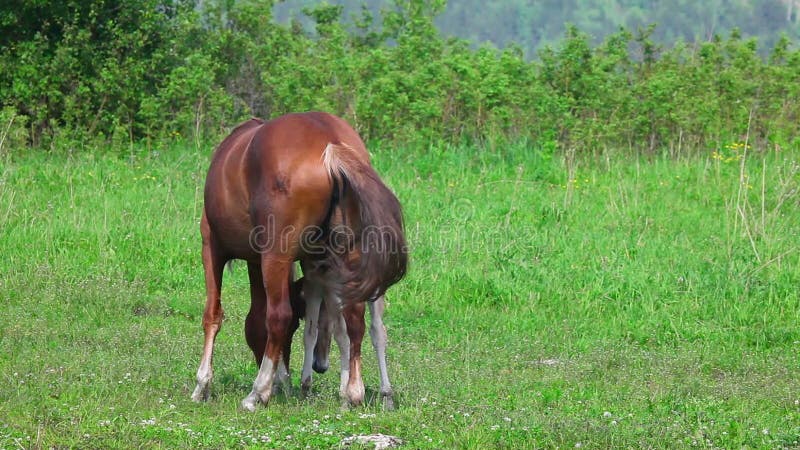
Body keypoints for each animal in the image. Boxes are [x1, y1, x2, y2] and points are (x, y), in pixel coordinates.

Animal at [191, 110, 410, 410]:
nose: (283, 381)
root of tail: (331, 143)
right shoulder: (267, 262)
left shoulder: (212, 247)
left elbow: (214, 315)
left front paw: (202, 384)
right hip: (346, 263)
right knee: (355, 322)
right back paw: (353, 391)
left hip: (275, 257)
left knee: (277, 316)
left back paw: (257, 392)